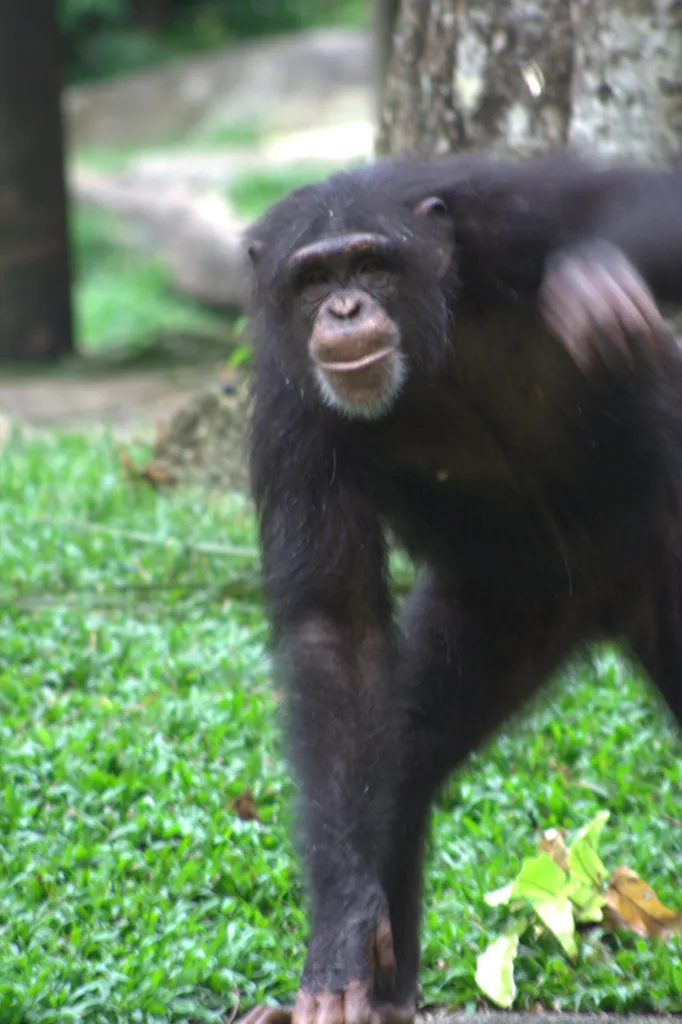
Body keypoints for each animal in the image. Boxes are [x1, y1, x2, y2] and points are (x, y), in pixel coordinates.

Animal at [238, 151, 682, 1024]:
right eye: (312, 278)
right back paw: (383, 997)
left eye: (370, 262)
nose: (344, 308)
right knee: (403, 759)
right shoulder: (288, 410)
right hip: (509, 606)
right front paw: (343, 933)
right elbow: (337, 633)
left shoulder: (504, 213)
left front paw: (594, 284)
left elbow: (639, 199)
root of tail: (606, 602)